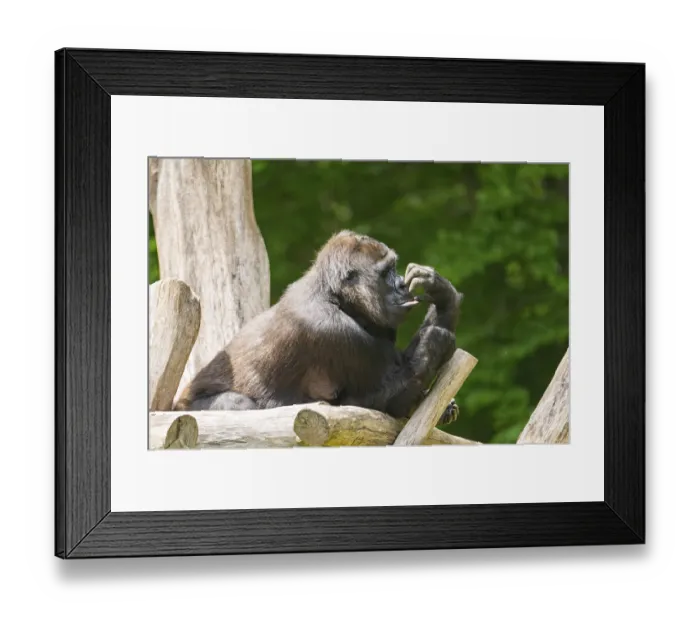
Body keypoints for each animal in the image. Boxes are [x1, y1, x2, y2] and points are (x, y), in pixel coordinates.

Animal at [173, 230, 464, 426]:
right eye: (386, 273)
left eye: (395, 268)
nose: (402, 284)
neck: (333, 294)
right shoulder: (330, 328)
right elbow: (382, 402)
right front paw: (434, 345)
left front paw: (442, 294)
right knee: (240, 405)